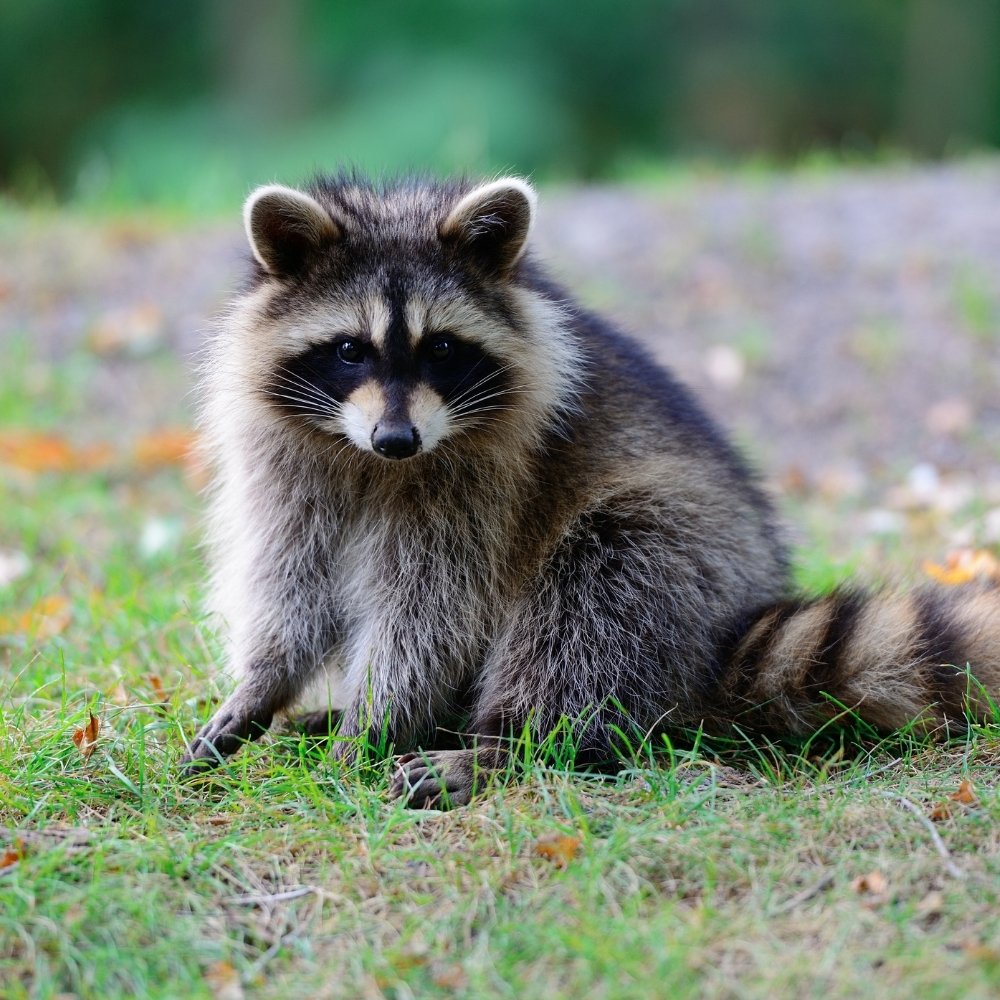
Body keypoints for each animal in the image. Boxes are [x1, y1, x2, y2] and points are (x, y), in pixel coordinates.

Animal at [181, 173, 1000, 806]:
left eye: (441, 348)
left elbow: (431, 609)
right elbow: (292, 580)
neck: (371, 461)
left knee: (593, 600)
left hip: (678, 553)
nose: (397, 439)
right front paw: (264, 685)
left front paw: (378, 721)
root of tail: (730, 630)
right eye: (350, 350)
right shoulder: (288, 461)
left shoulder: (485, 481)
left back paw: (506, 745)